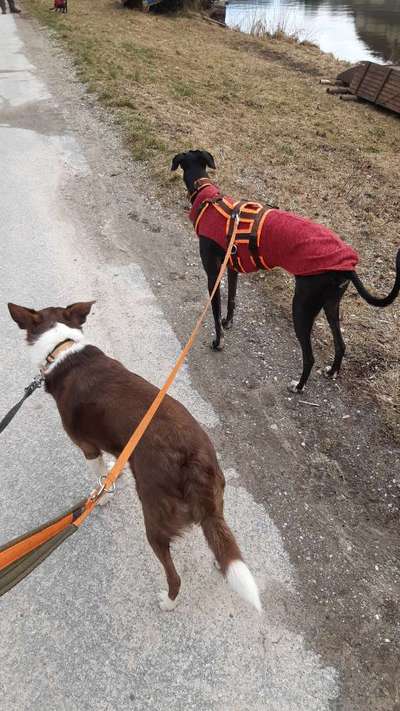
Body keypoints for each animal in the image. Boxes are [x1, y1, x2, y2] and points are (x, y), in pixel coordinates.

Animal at [8, 300, 262, 612]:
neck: (62, 346)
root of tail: (194, 462)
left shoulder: (88, 447)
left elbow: (99, 476)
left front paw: (101, 497)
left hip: (154, 518)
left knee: (174, 575)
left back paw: (169, 601)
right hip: (215, 503)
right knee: (219, 538)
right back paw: (218, 561)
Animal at [172, 150, 400, 392]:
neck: (206, 194)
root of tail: (348, 265)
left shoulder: (213, 275)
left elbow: (215, 312)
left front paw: (218, 341)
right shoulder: (232, 267)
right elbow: (232, 299)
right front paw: (228, 322)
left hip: (301, 306)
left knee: (309, 357)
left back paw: (298, 386)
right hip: (330, 303)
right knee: (341, 344)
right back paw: (332, 371)